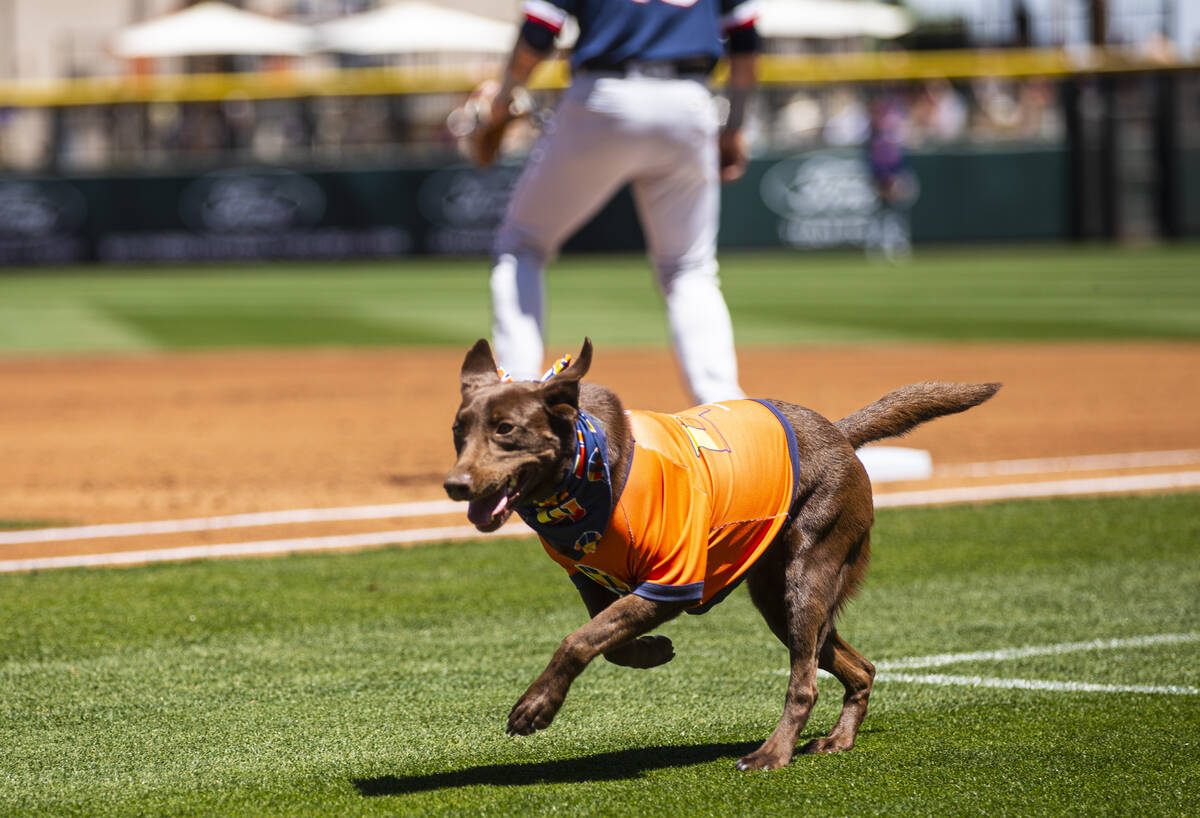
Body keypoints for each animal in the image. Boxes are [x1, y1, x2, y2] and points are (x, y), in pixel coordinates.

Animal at [446, 333, 998, 767]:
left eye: (506, 430)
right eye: (458, 430)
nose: (454, 485)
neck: (590, 464)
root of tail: (839, 431)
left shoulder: (673, 583)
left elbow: (578, 639)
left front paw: (535, 705)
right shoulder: (589, 575)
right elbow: (608, 640)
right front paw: (651, 651)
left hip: (809, 570)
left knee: (804, 682)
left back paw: (771, 755)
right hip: (777, 595)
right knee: (859, 667)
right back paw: (838, 740)